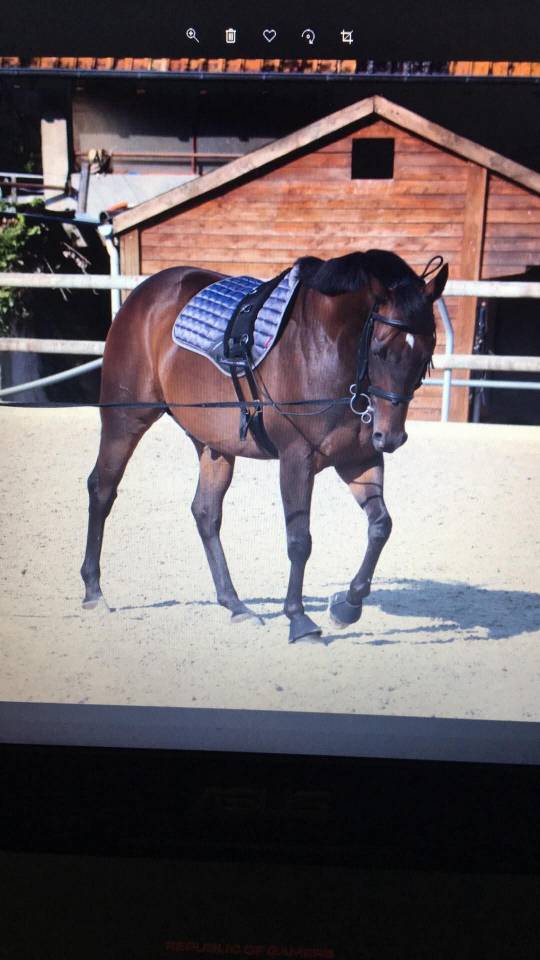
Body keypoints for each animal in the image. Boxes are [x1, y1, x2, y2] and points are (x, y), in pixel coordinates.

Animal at [81, 250, 448, 643]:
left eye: (426, 352)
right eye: (380, 350)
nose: (390, 437)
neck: (326, 350)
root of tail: (143, 294)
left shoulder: (359, 458)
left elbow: (380, 526)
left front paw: (347, 606)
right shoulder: (296, 458)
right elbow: (299, 540)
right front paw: (299, 620)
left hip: (212, 445)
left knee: (205, 513)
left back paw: (236, 606)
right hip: (125, 419)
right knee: (102, 489)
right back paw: (94, 593)